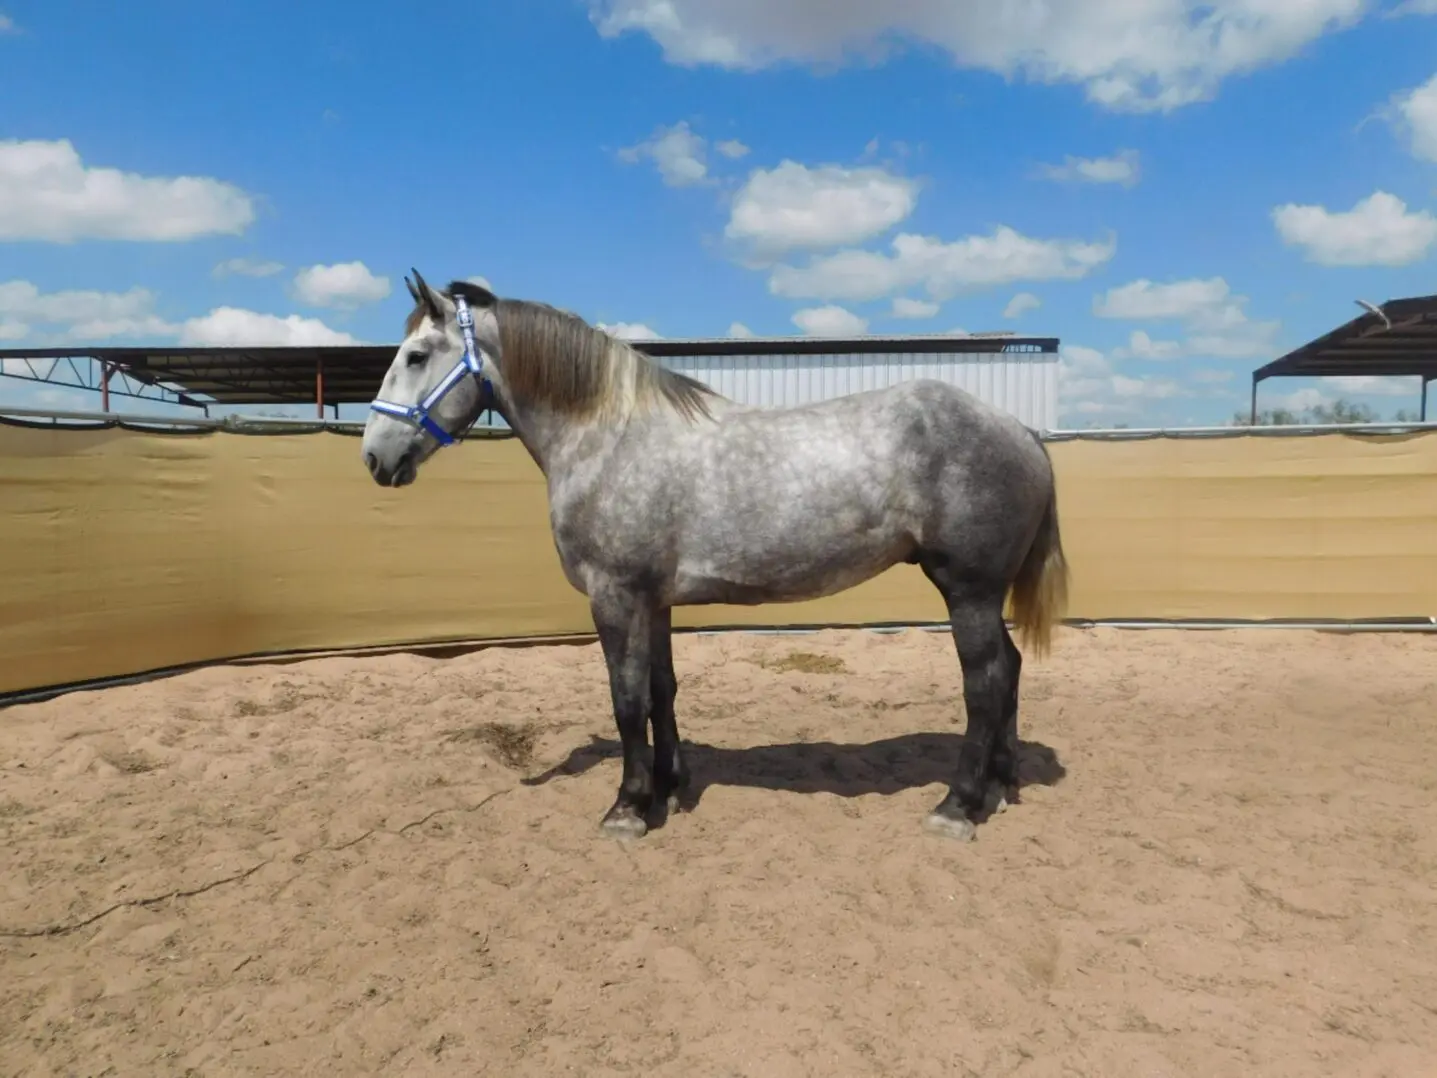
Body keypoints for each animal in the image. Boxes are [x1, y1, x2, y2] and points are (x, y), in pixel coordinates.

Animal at [360, 270, 1070, 843]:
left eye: (416, 355)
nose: (374, 457)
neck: (610, 438)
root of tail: (1019, 431)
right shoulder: (653, 601)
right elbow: (661, 690)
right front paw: (669, 788)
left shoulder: (615, 596)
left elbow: (626, 699)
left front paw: (627, 808)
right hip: (982, 593)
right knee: (1008, 669)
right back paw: (999, 785)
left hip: (967, 589)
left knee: (984, 682)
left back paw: (957, 806)